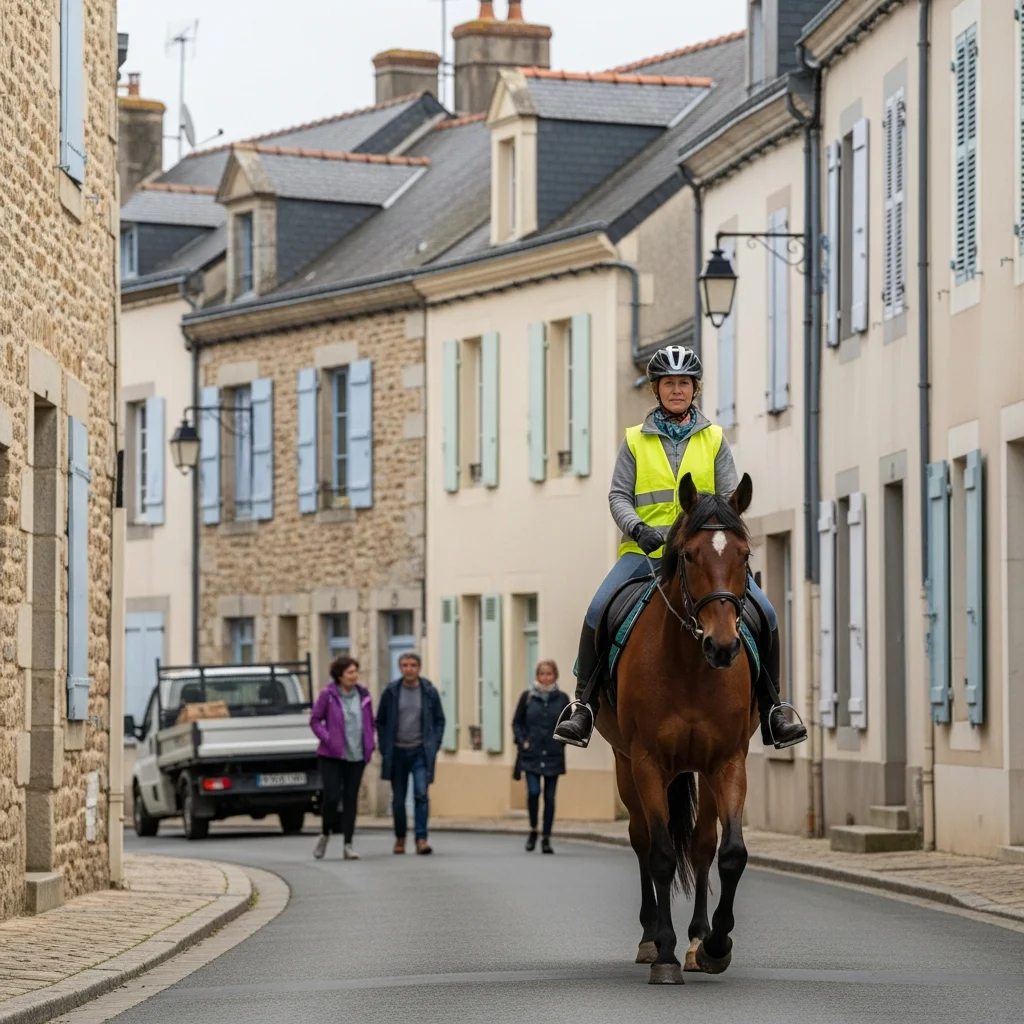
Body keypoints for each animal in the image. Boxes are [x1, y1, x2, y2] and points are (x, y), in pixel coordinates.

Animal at [595, 471, 757, 985]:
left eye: (745, 554)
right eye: (688, 555)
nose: (723, 646)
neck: (690, 667)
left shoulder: (728, 762)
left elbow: (730, 852)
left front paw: (714, 945)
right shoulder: (647, 761)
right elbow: (663, 853)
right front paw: (664, 952)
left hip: (699, 771)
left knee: (703, 846)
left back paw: (696, 939)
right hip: (627, 764)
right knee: (644, 840)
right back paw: (653, 938)